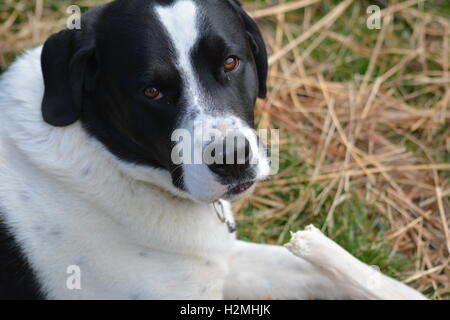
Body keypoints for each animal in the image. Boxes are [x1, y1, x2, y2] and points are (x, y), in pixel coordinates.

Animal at [0, 0, 426, 300]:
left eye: (231, 62)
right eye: (151, 91)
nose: (232, 161)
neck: (110, 160)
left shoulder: (222, 262)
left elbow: (319, 268)